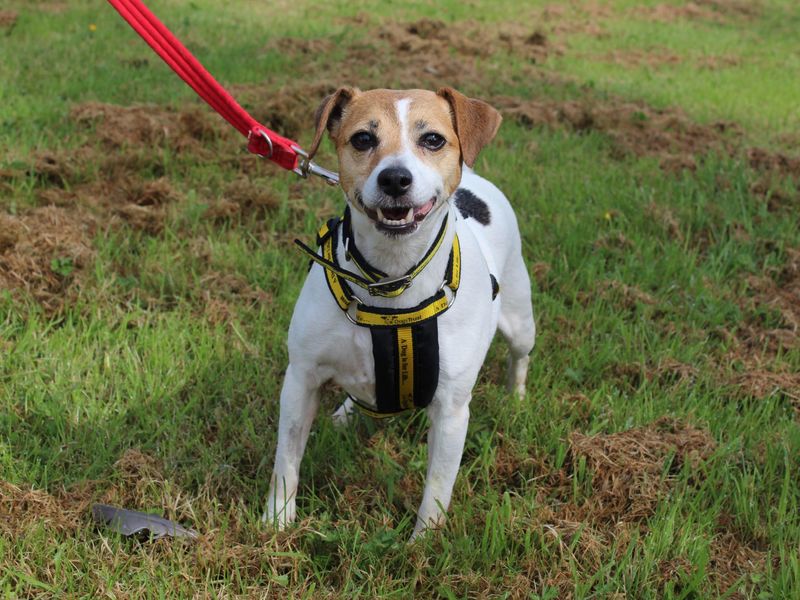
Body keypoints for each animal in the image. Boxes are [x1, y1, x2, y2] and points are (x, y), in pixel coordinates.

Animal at [266, 88, 536, 540]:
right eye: (362, 139)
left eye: (433, 139)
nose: (395, 178)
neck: (392, 280)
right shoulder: (301, 379)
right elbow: (286, 458)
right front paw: (276, 522)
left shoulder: (451, 412)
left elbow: (438, 486)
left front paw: (422, 543)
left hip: (520, 320)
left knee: (519, 357)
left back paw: (515, 399)